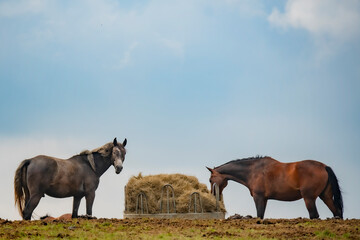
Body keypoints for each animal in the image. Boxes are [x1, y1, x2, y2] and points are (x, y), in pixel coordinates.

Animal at [207, 156, 342, 219]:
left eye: (210, 180)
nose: (212, 194)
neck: (253, 171)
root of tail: (324, 166)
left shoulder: (258, 198)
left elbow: (259, 215)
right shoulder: (264, 199)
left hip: (309, 198)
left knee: (314, 215)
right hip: (325, 197)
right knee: (337, 212)